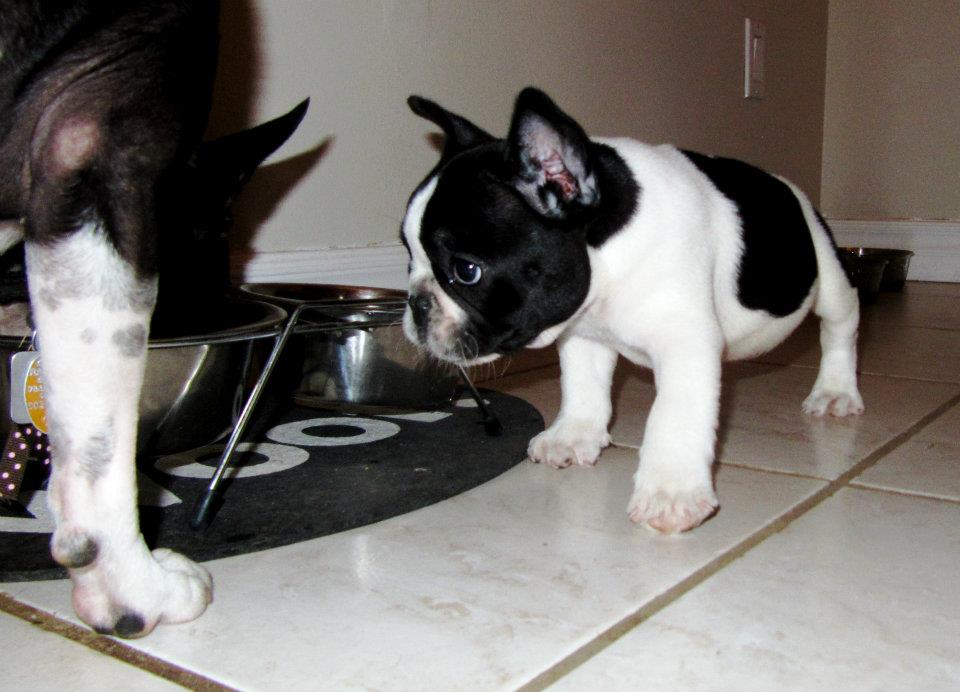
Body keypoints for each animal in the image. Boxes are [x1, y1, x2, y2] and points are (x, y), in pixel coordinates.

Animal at [402, 88, 868, 536]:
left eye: (466, 271)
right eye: (408, 258)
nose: (416, 303)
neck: (608, 249)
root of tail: (788, 187)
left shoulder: (685, 341)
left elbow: (673, 416)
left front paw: (671, 493)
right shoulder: (584, 333)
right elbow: (583, 387)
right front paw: (573, 435)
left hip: (826, 274)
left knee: (841, 323)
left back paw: (836, 390)